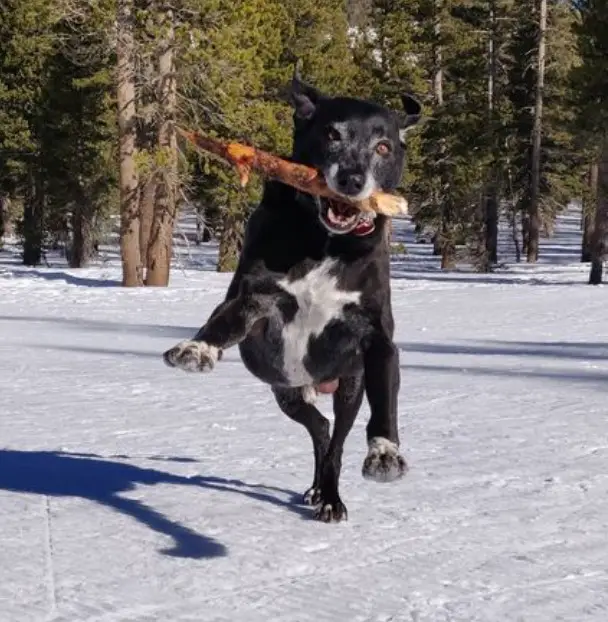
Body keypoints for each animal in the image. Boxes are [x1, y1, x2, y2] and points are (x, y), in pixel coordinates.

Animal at [162, 70, 420, 524]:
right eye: (332, 134)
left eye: (383, 146)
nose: (351, 179)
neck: (327, 243)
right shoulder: (254, 299)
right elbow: (221, 321)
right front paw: (196, 349)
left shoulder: (375, 336)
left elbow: (385, 400)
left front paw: (385, 453)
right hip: (286, 390)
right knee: (320, 430)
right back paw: (319, 489)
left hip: (349, 387)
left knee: (335, 442)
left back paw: (329, 497)